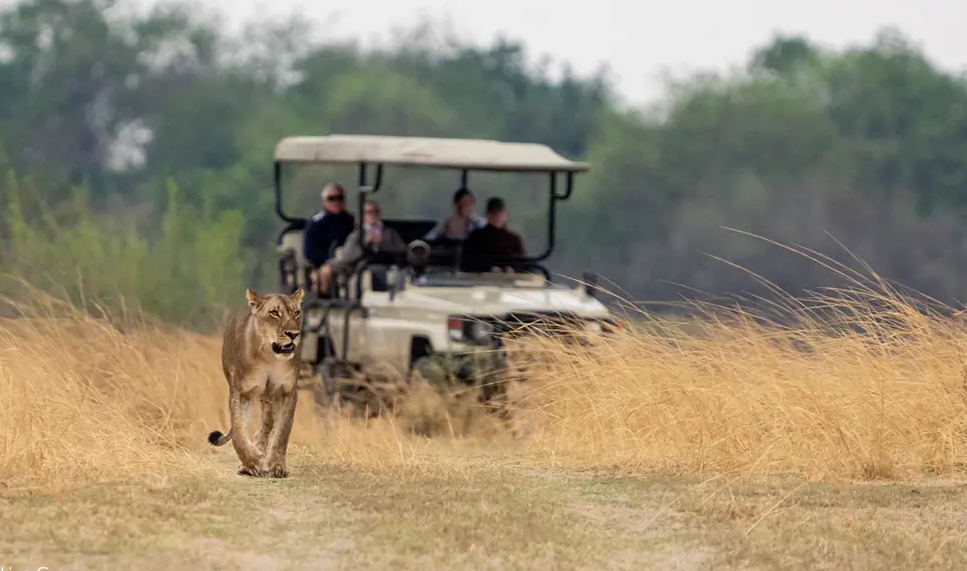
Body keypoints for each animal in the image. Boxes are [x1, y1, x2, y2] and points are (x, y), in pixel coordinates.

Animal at [207, 287, 305, 478]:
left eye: (296, 313)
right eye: (274, 313)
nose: (293, 334)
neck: (269, 357)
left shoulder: (288, 392)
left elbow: (282, 432)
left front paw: (276, 466)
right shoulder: (241, 391)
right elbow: (238, 432)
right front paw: (252, 463)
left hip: (270, 399)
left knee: (266, 425)